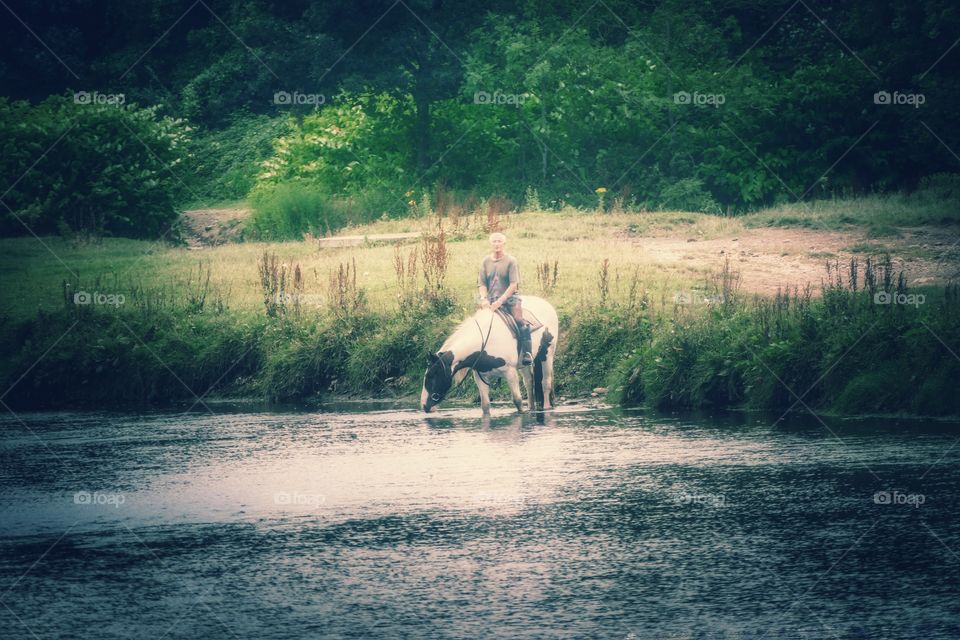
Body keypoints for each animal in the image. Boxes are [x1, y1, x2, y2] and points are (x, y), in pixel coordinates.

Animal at [418, 296, 560, 416]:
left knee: (545, 383)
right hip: (525, 364)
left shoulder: (510, 373)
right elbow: (485, 406)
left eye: (431, 375)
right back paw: (531, 408)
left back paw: (547, 407)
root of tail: (547, 305)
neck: (484, 343)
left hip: (547, 354)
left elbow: (518, 401)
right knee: (529, 383)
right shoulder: (480, 377)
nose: (424, 406)